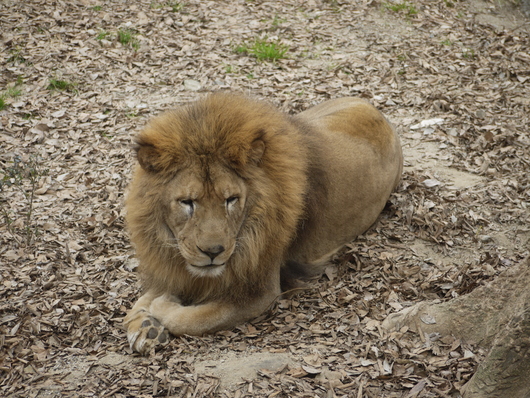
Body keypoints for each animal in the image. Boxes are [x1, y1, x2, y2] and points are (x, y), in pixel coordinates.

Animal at [121, 93, 398, 354]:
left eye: (231, 199)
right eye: (187, 202)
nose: (213, 252)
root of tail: (370, 106)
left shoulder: (261, 291)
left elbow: (197, 318)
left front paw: (160, 308)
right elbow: (139, 302)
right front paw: (144, 325)